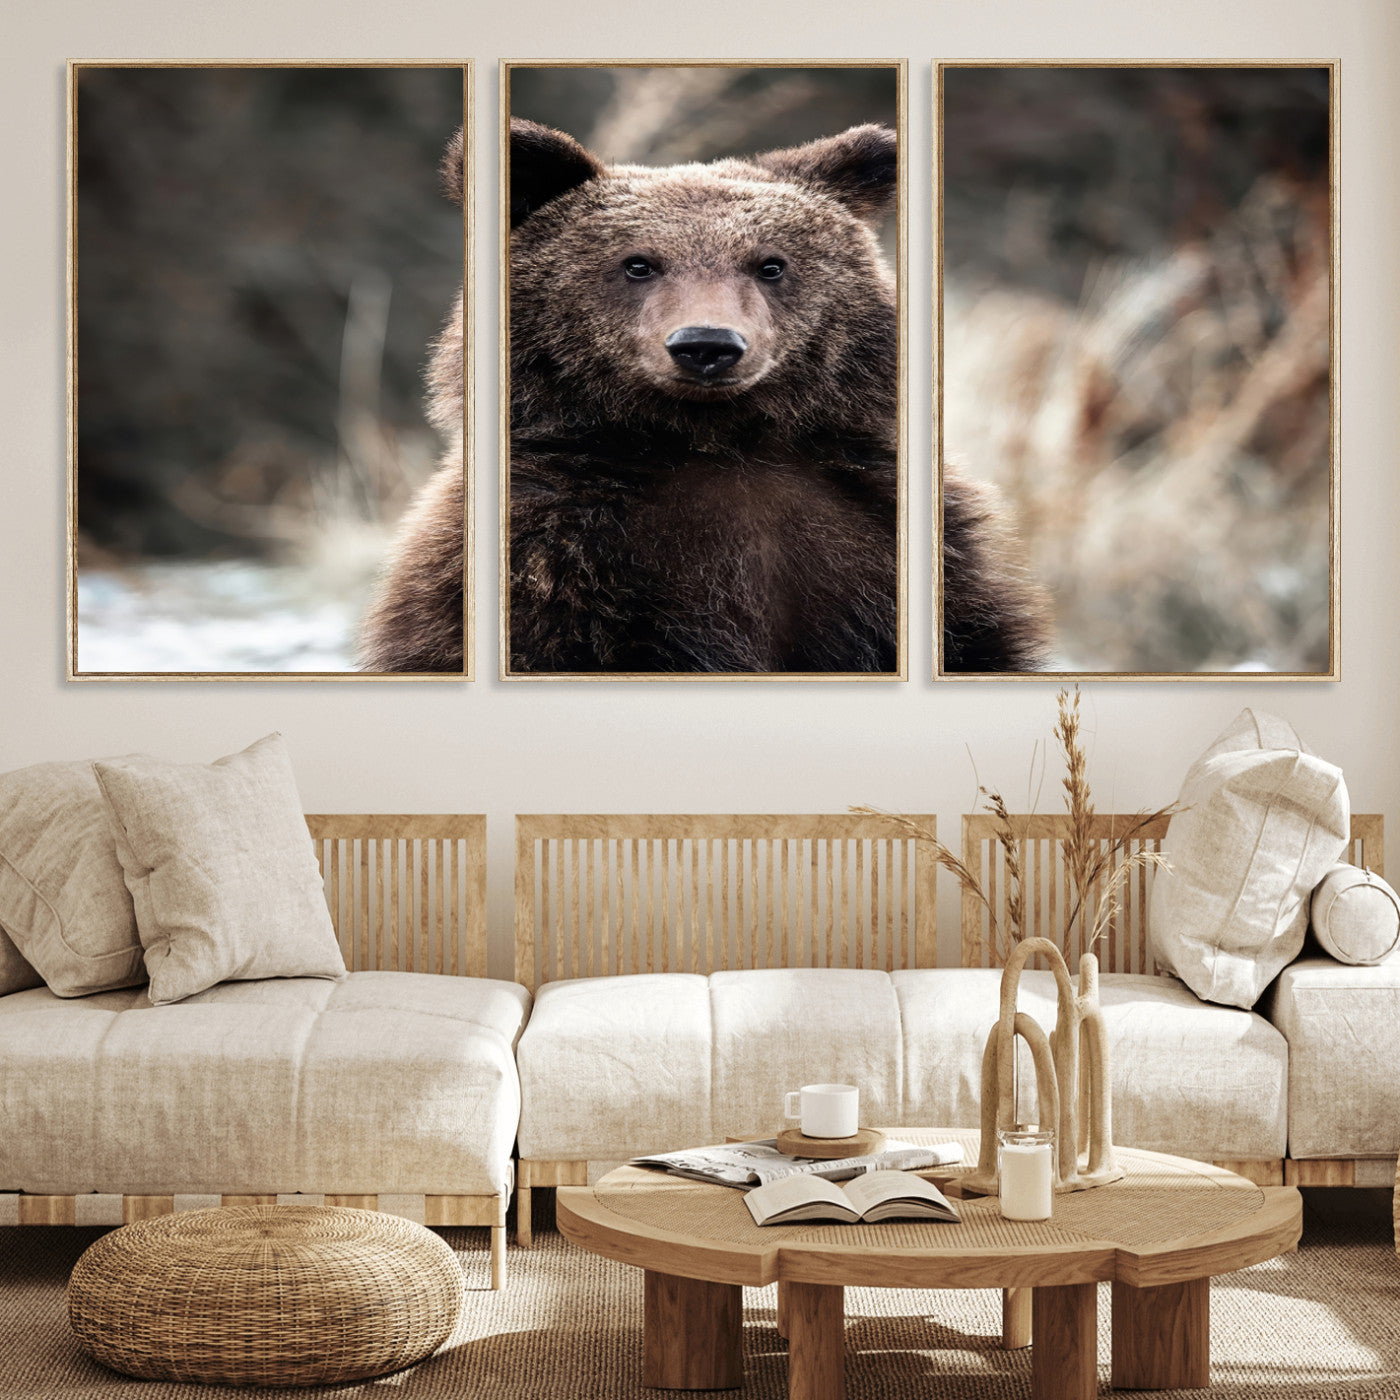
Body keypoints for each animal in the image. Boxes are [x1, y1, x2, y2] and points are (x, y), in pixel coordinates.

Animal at [360, 120, 1051, 674]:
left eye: (770, 264)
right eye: (638, 263)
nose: (707, 344)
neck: (716, 440)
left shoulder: (884, 534)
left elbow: (975, 640)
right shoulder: (555, 555)